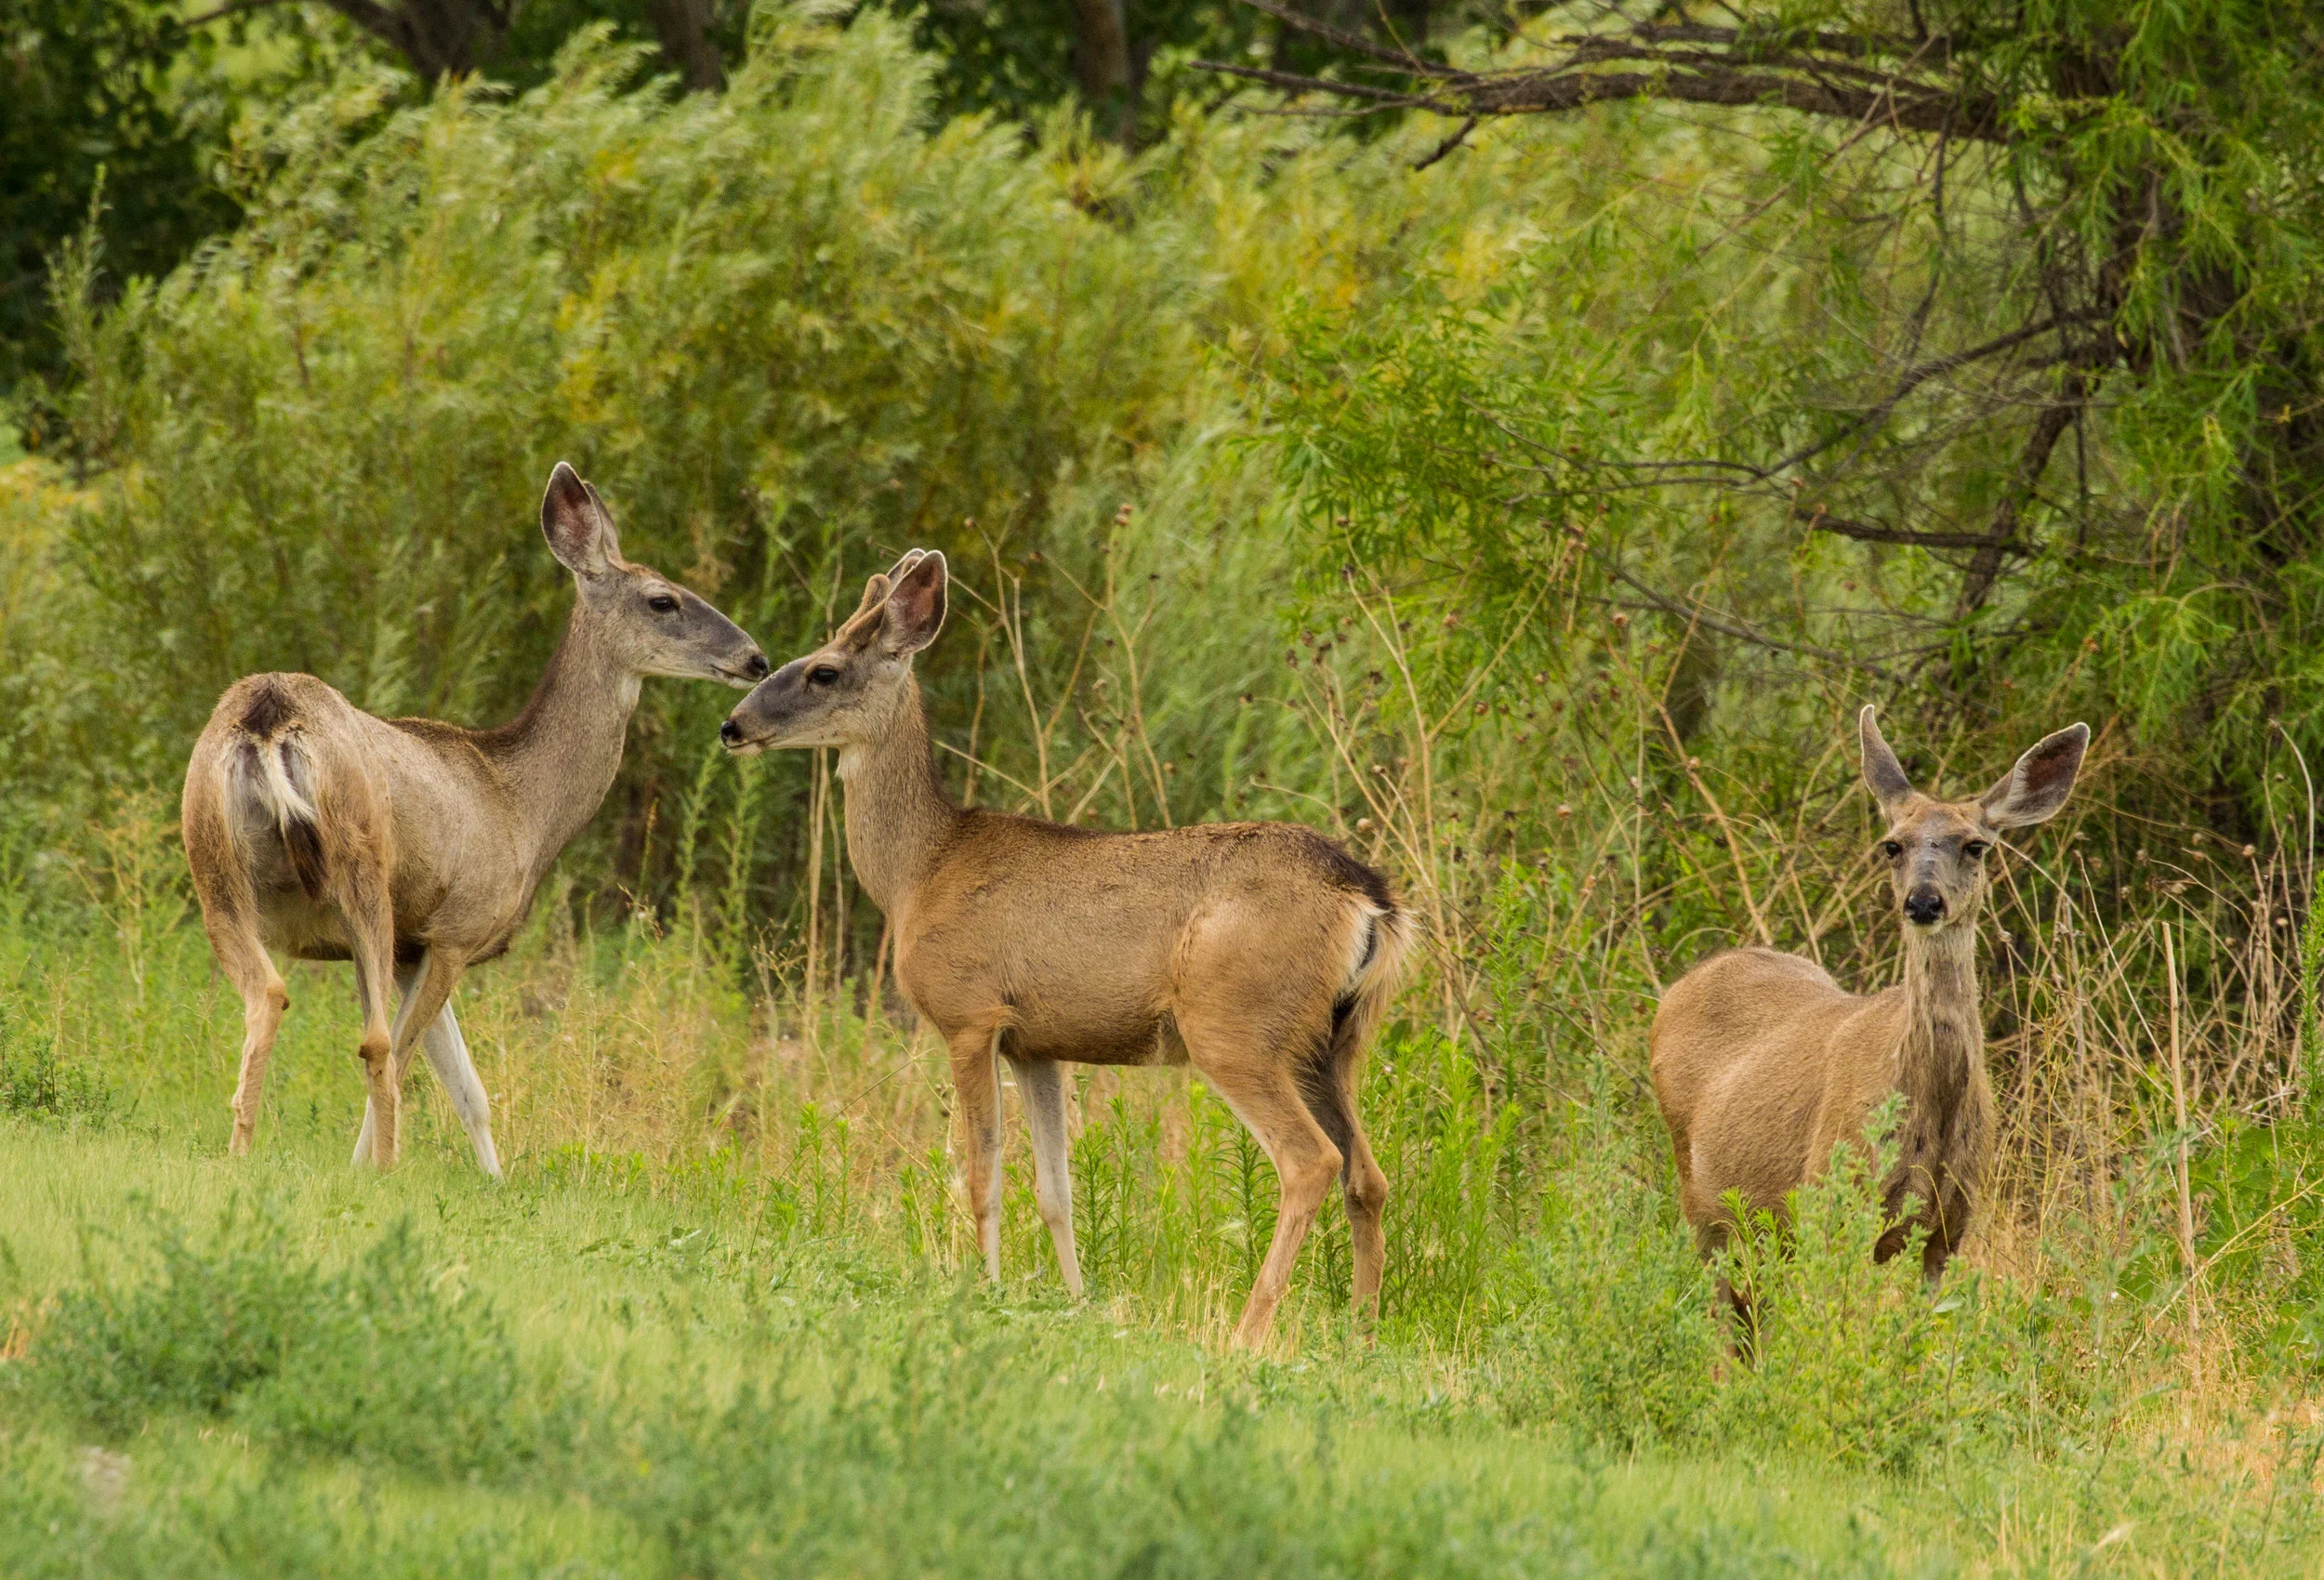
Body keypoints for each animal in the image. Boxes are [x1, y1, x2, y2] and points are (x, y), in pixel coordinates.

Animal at [180, 462, 769, 1176]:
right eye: (663, 601)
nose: (756, 658)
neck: (522, 805)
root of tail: (268, 718)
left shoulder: (414, 948)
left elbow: (469, 1089)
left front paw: (489, 1180)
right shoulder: (457, 930)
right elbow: (428, 1068)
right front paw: (370, 1170)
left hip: (212, 864)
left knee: (267, 995)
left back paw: (238, 1152)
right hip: (360, 875)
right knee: (375, 1043)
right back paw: (380, 1164)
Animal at [717, 549, 1412, 1347]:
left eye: (823, 671)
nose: (732, 725)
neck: (920, 870)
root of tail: (1369, 899)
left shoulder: (969, 1013)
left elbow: (981, 1176)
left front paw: (983, 1287)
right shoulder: (1037, 1044)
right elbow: (1056, 1190)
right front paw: (1074, 1302)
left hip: (1235, 1026)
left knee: (1310, 1162)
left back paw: (1247, 1332)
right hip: (1336, 1040)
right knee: (1367, 1174)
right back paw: (1361, 1331)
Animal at [1650, 706, 2089, 1289]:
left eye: (1975, 845)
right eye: (1892, 845)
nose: (1923, 901)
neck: (1931, 1106)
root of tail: (1683, 985)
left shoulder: (1948, 1228)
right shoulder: (1832, 1204)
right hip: (1701, 1201)